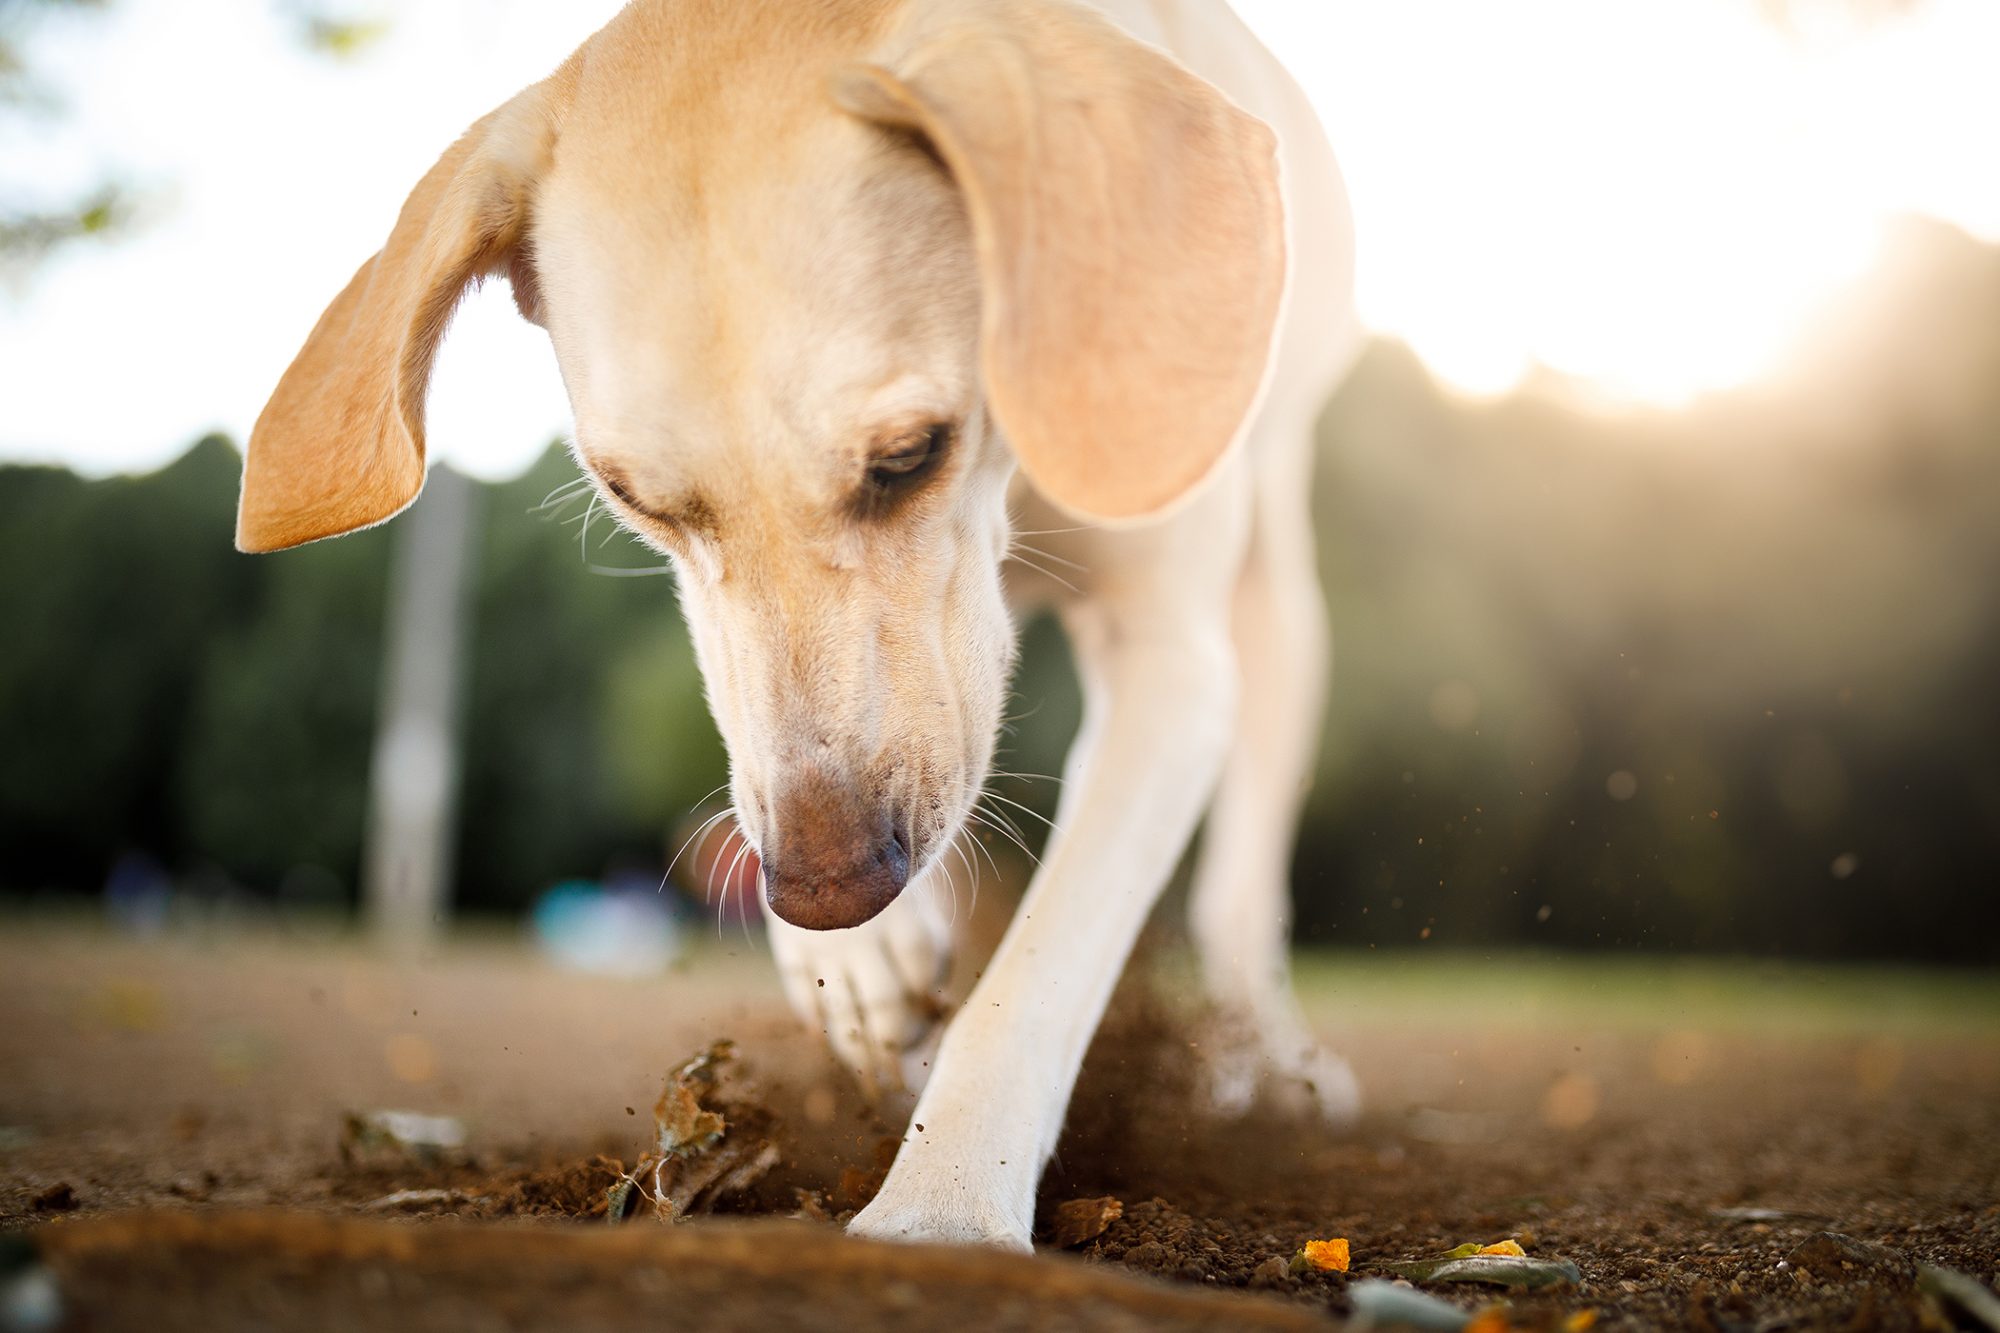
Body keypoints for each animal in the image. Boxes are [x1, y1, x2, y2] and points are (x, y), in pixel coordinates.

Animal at [230, 0, 1360, 1248]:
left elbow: (1039, 971)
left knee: (1240, 883)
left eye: (909, 453)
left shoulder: (1170, 660)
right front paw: (863, 968)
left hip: (1276, 599)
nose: (829, 892)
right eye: (634, 500)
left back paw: (1271, 1064)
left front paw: (942, 1207)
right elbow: (761, 746)